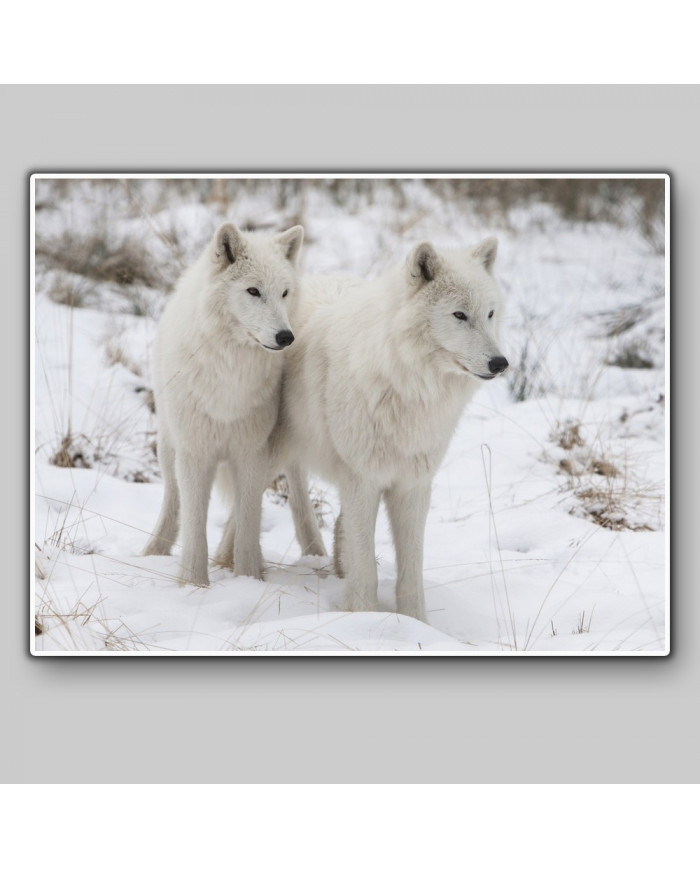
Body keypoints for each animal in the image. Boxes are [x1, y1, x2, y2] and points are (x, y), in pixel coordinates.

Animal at [142, 221, 319, 587]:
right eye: (253, 291)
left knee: (294, 489)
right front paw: (193, 584)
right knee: (172, 501)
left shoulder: (251, 452)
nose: (286, 337)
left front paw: (248, 578)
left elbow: (249, 522)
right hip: (169, 446)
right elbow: (195, 524)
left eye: (284, 293)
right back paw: (154, 551)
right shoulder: (195, 453)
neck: (231, 376)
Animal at [281, 237, 508, 622]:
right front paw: (363, 616)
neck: (407, 385)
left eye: (490, 314)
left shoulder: (413, 486)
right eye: (459, 315)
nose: (500, 363)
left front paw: (417, 623)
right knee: (291, 494)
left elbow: (411, 573)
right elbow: (365, 570)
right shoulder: (362, 481)